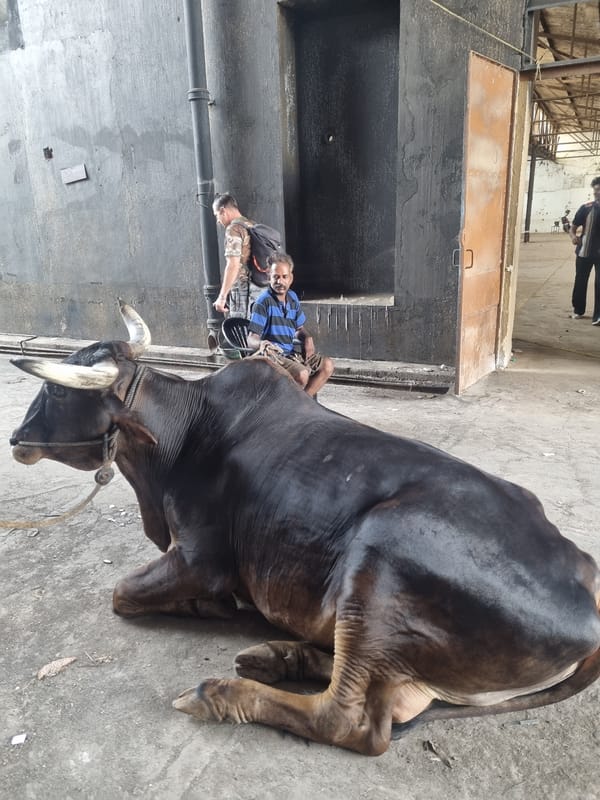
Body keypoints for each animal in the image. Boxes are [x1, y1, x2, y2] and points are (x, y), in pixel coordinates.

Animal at [9, 300, 600, 756]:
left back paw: (222, 694)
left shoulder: (199, 558)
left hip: (381, 558)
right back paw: (276, 655)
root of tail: (588, 600)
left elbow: (122, 593)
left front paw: (209, 606)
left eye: (59, 394)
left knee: (352, 721)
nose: (15, 439)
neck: (182, 437)